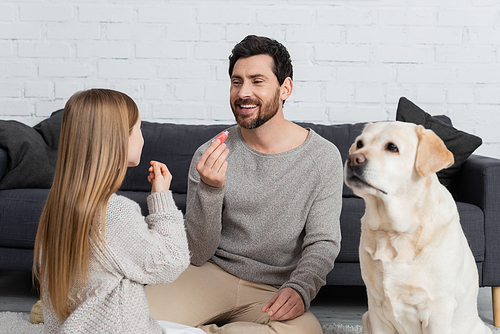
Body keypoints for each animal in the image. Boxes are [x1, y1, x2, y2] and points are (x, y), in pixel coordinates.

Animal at [346, 122, 490, 334]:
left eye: (392, 147)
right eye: (359, 144)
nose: (353, 159)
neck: (395, 232)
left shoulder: (438, 311)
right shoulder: (376, 309)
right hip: (366, 318)